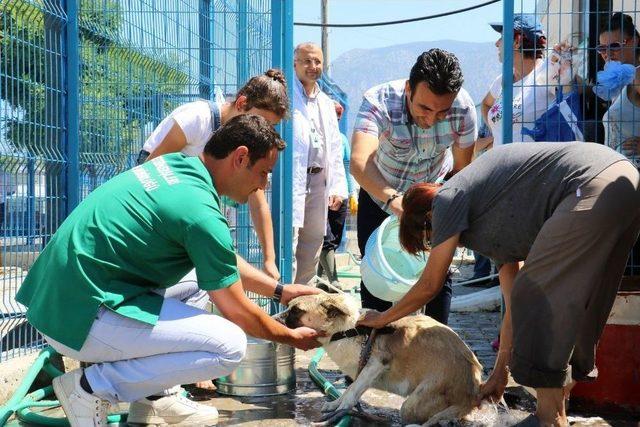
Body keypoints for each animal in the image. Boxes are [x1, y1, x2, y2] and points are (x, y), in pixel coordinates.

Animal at [278, 292, 480, 426]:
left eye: (296, 310)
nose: (275, 318)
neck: (346, 330)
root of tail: (472, 395)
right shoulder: (366, 370)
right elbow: (351, 388)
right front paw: (336, 404)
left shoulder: (376, 363)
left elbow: (352, 390)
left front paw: (340, 409)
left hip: (410, 405)